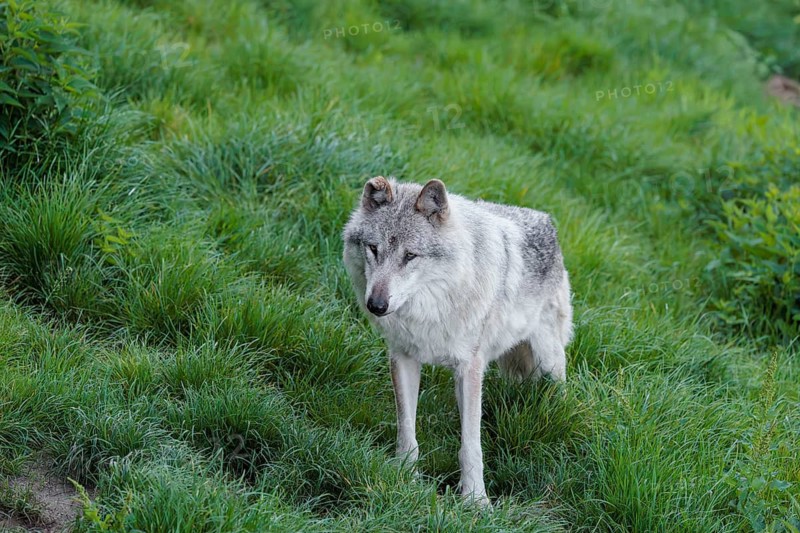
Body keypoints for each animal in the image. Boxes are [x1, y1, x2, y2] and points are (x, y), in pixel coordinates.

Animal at [342, 176, 573, 506]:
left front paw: (475, 500)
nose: (376, 305)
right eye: (373, 249)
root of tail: (547, 220)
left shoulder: (469, 368)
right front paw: (406, 476)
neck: (432, 308)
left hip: (548, 364)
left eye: (410, 256)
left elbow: (471, 446)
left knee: (558, 393)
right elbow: (406, 429)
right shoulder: (403, 357)